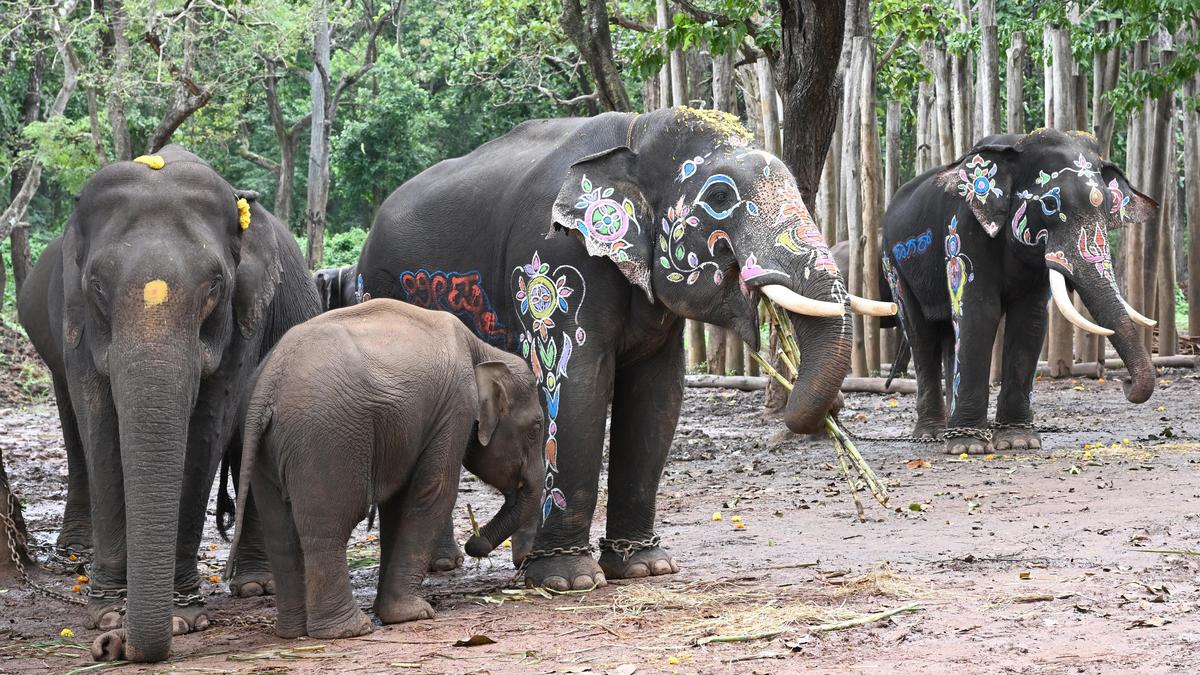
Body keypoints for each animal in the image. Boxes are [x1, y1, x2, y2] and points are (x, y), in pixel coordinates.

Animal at [16, 145, 321, 662]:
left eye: (215, 285)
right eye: (97, 285)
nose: (112, 647)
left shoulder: (242, 319)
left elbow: (207, 428)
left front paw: (182, 617)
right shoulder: (75, 316)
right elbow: (99, 422)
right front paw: (108, 613)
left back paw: (255, 586)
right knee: (74, 428)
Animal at [228, 299, 544, 638]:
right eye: (535, 428)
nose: (475, 545)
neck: (483, 350)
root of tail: (267, 386)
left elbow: (397, 504)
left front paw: (396, 613)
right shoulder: (455, 407)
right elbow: (434, 492)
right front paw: (415, 614)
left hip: (264, 448)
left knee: (280, 530)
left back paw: (293, 632)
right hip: (326, 439)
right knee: (329, 525)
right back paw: (349, 630)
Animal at [355, 107, 894, 591]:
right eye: (720, 197)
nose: (834, 410)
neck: (640, 130)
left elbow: (658, 396)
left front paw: (645, 569)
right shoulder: (552, 260)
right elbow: (576, 387)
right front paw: (570, 581)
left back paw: (507, 561)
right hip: (378, 291)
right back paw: (446, 565)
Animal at [881, 129, 1157, 456]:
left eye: (1108, 208)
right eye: (1050, 203)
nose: (1126, 383)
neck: (1016, 146)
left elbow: (1030, 319)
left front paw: (1018, 442)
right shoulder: (964, 228)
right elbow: (979, 311)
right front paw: (968, 447)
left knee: (948, 333)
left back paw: (948, 429)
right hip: (893, 265)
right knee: (921, 334)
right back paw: (932, 435)